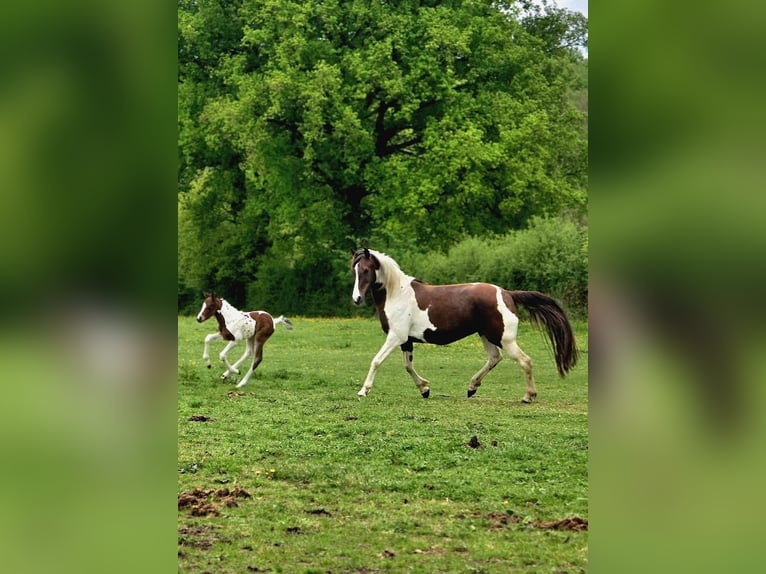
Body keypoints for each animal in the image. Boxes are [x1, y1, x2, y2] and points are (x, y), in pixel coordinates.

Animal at [351, 249, 578, 402]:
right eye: (354, 270)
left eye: (366, 270)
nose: (356, 299)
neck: (397, 293)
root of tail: (507, 294)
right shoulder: (406, 341)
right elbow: (408, 366)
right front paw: (425, 389)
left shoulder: (396, 337)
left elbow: (376, 361)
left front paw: (363, 390)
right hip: (486, 336)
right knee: (494, 358)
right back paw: (472, 387)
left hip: (504, 338)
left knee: (525, 361)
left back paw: (528, 396)